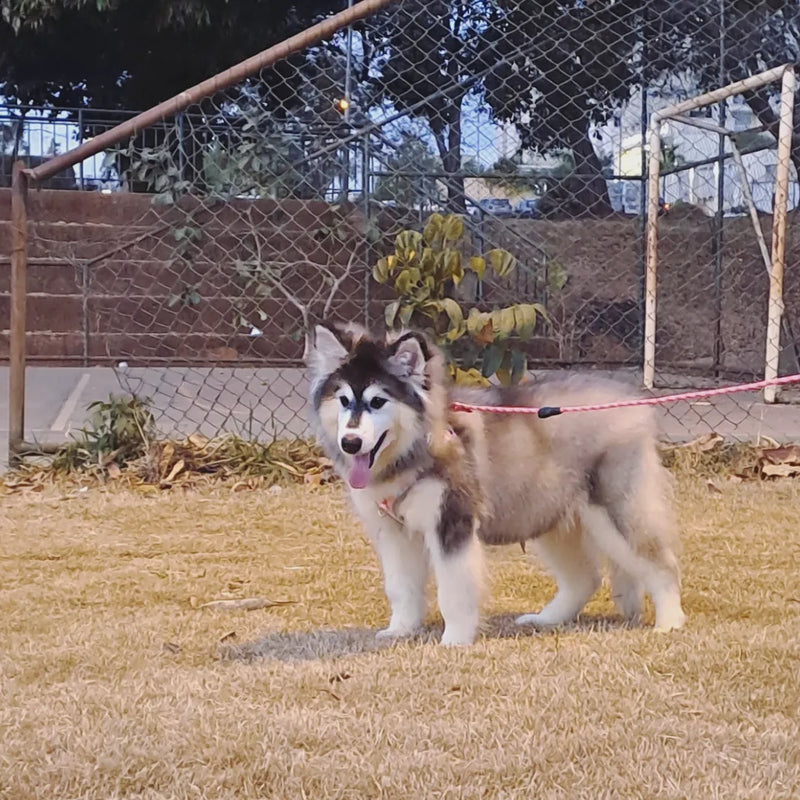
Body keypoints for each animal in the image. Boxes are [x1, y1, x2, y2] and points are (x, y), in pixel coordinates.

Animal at [304, 320, 684, 644]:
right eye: (344, 400)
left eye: (378, 401)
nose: (350, 443)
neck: (412, 453)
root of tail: (632, 398)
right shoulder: (394, 532)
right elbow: (400, 587)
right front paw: (401, 630)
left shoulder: (451, 522)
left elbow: (454, 590)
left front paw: (454, 640)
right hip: (546, 512)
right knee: (585, 577)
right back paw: (546, 619)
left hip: (617, 509)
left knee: (661, 564)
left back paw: (670, 622)